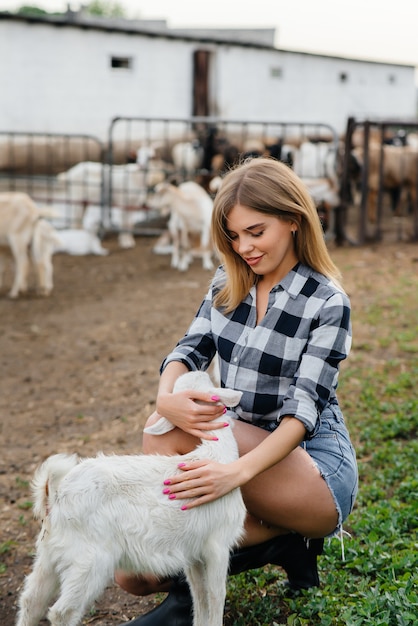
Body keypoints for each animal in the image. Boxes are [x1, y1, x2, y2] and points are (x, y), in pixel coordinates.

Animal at [15, 370, 245, 624]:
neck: (216, 455)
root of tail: (54, 495)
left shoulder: (194, 552)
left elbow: (200, 596)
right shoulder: (218, 544)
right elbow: (215, 596)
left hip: (49, 553)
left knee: (31, 600)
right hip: (89, 560)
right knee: (61, 612)